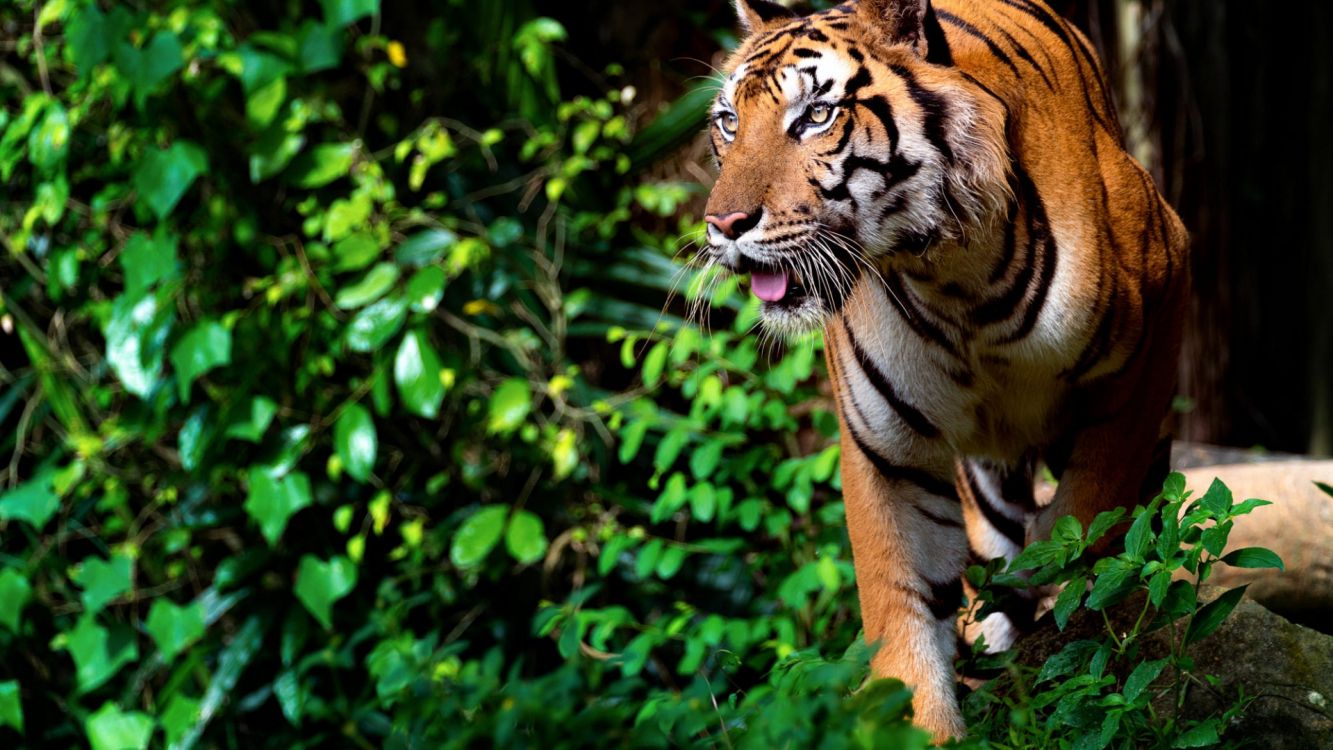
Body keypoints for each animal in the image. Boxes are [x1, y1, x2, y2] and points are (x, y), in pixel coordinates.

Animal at [698, 0, 1189, 740]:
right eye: (729, 122)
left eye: (816, 115)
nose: (723, 224)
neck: (953, 278)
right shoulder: (887, 450)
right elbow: (900, 605)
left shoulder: (1153, 332)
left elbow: (1089, 510)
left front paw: (1070, 586)